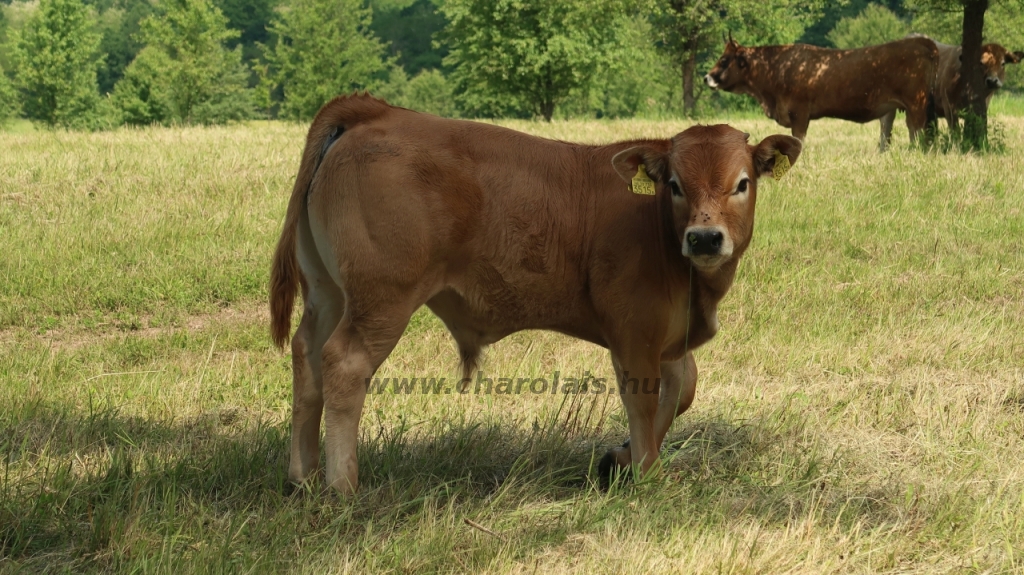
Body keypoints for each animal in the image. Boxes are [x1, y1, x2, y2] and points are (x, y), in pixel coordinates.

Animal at [266, 95, 798, 493]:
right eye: (674, 184)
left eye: (742, 183)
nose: (704, 238)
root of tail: (375, 111)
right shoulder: (635, 332)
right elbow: (644, 401)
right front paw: (645, 473)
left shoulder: (669, 333)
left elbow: (683, 387)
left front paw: (620, 459)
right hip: (381, 301)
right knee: (344, 365)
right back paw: (342, 486)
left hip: (328, 294)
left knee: (307, 356)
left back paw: (302, 476)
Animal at [704, 36, 937, 151]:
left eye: (724, 60)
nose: (706, 77)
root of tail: (921, 42)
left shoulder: (799, 113)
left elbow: (798, 139)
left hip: (916, 104)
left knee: (916, 130)